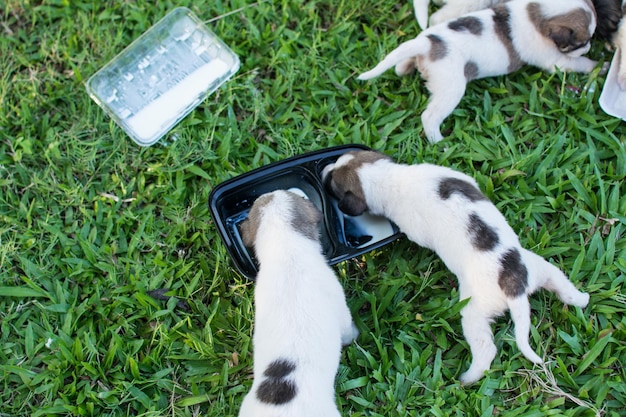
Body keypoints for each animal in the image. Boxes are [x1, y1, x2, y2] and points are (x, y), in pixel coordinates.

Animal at [322, 150, 588, 384]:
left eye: (333, 183)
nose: (324, 169)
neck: (389, 177)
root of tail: (513, 285)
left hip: (474, 311)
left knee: (486, 349)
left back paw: (468, 378)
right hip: (540, 268)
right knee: (563, 287)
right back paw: (581, 298)